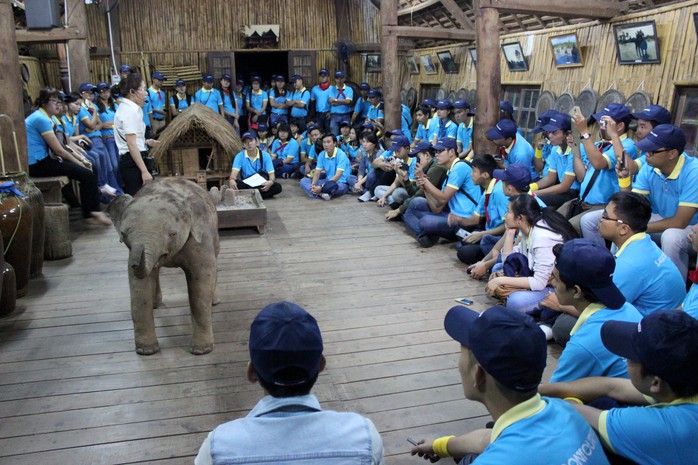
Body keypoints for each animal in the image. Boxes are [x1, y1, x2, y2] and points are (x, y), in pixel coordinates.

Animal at [109, 178, 219, 356]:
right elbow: (139, 287)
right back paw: (155, 304)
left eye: (173, 234)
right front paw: (146, 351)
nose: (136, 262)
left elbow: (203, 277)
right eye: (124, 235)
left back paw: (214, 302)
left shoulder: (200, 238)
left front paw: (201, 351)